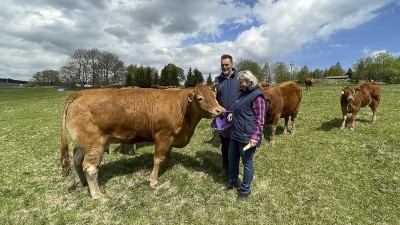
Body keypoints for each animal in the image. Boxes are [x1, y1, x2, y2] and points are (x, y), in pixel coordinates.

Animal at [61, 83, 227, 199]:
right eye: (200, 98)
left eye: (215, 96)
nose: (220, 110)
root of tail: (81, 93)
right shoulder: (162, 136)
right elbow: (158, 158)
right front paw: (153, 181)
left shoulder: (171, 138)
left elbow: (167, 154)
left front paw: (167, 165)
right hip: (95, 144)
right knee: (90, 168)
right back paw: (96, 194)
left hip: (83, 145)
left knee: (76, 159)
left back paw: (80, 182)